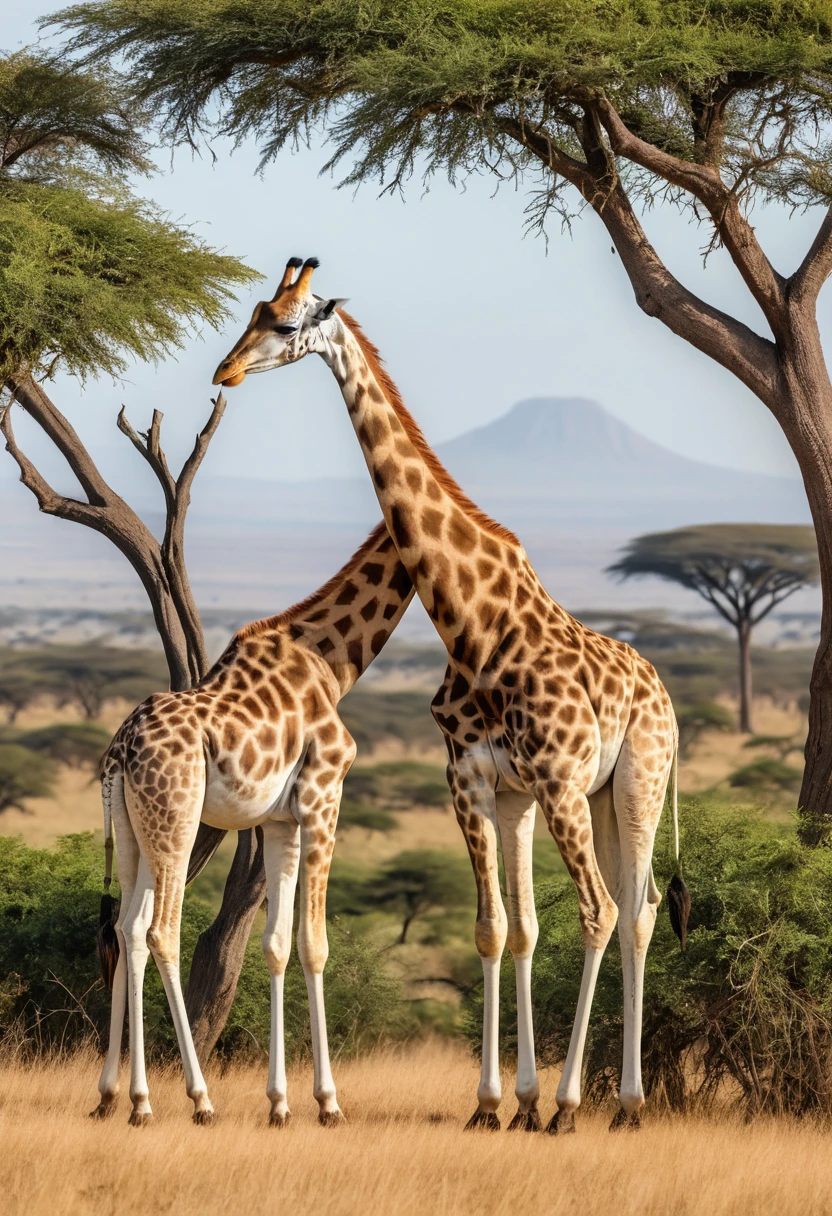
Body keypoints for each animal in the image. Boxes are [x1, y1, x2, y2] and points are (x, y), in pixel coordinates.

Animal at [92, 501, 413, 1126]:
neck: (330, 661)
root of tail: (120, 751)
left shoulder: (279, 819)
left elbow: (275, 944)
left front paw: (281, 1102)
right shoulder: (324, 794)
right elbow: (314, 942)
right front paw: (328, 1103)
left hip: (133, 830)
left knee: (126, 928)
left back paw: (117, 1095)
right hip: (176, 820)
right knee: (162, 931)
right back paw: (194, 1100)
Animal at [213, 256, 681, 1134]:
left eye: (285, 323)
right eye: (253, 312)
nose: (223, 372)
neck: (473, 621)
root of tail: (664, 692)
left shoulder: (550, 779)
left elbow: (579, 916)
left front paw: (552, 1104)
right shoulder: (476, 779)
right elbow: (501, 929)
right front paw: (497, 1103)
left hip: (636, 777)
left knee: (620, 911)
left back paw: (603, 1104)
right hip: (598, 795)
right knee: (636, 907)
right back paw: (619, 1104)